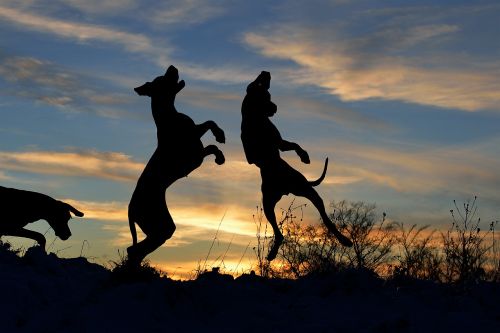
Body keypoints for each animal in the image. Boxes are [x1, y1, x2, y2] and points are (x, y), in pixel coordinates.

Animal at [126, 66, 226, 266]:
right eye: (162, 78)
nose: (172, 67)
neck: (169, 115)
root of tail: (131, 209)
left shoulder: (196, 141)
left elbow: (210, 125)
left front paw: (220, 137)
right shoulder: (193, 156)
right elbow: (211, 144)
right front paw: (219, 152)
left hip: (161, 228)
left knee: (135, 250)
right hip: (159, 225)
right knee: (135, 250)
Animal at [239, 71, 352, 260]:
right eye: (265, 97)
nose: (275, 107)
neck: (255, 117)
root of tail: (285, 189)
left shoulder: (279, 142)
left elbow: (294, 144)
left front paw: (304, 156)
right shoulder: (255, 151)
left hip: (305, 190)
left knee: (325, 218)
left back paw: (343, 239)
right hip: (269, 202)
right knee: (279, 233)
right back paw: (273, 251)